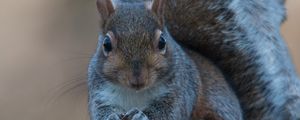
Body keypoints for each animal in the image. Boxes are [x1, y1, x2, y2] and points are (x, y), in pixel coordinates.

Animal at [88, 0, 244, 119]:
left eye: (162, 42)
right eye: (106, 44)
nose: (137, 79)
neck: (135, 93)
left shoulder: (179, 92)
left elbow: (168, 112)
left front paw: (141, 115)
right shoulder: (100, 95)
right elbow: (100, 111)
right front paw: (111, 116)